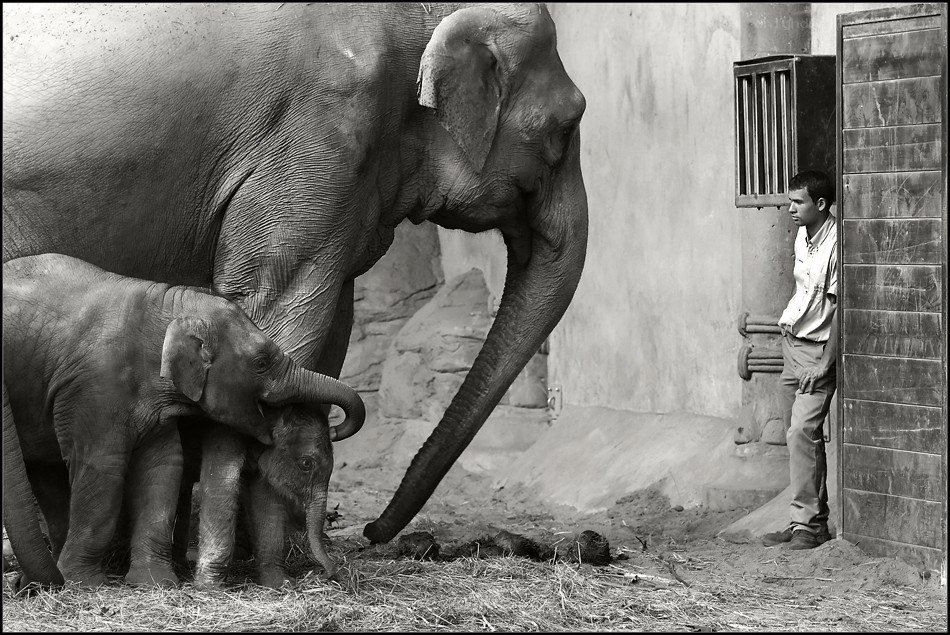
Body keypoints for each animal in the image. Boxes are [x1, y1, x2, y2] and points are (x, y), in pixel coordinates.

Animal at [1, 253, 365, 588]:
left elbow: (163, 467)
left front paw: (155, 583)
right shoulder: (96, 387)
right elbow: (102, 467)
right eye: (261, 362)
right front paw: (86, 585)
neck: (169, 304)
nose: (332, 574)